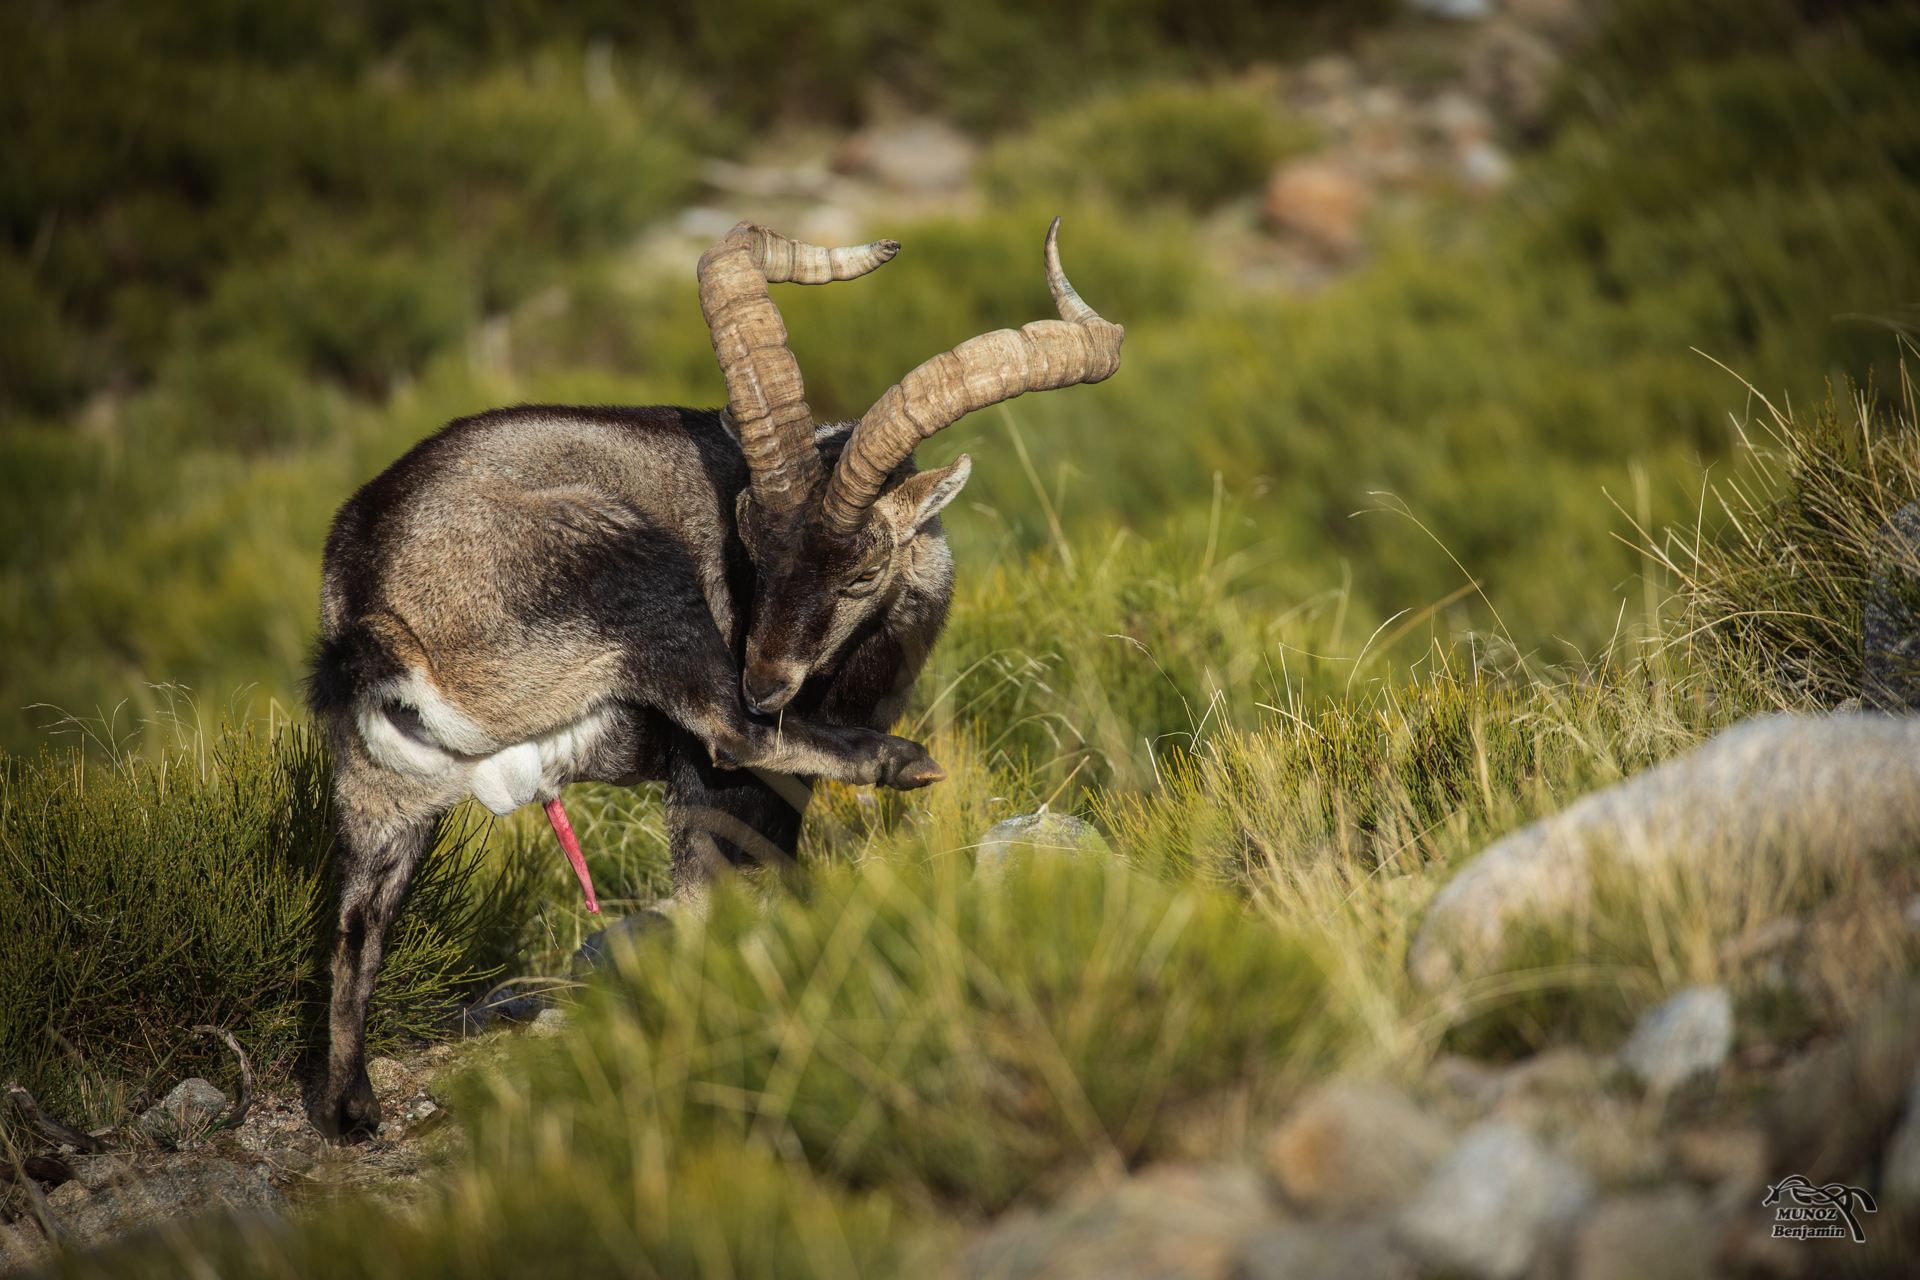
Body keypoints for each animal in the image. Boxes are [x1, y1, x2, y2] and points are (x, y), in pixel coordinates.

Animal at [303, 217, 1122, 1138]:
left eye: (860, 574)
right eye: (750, 541)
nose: (765, 682)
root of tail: (380, 610)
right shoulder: (716, 774)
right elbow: (720, 859)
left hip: (383, 785)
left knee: (359, 916)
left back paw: (350, 1106)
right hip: (632, 571)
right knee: (727, 733)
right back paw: (901, 762)